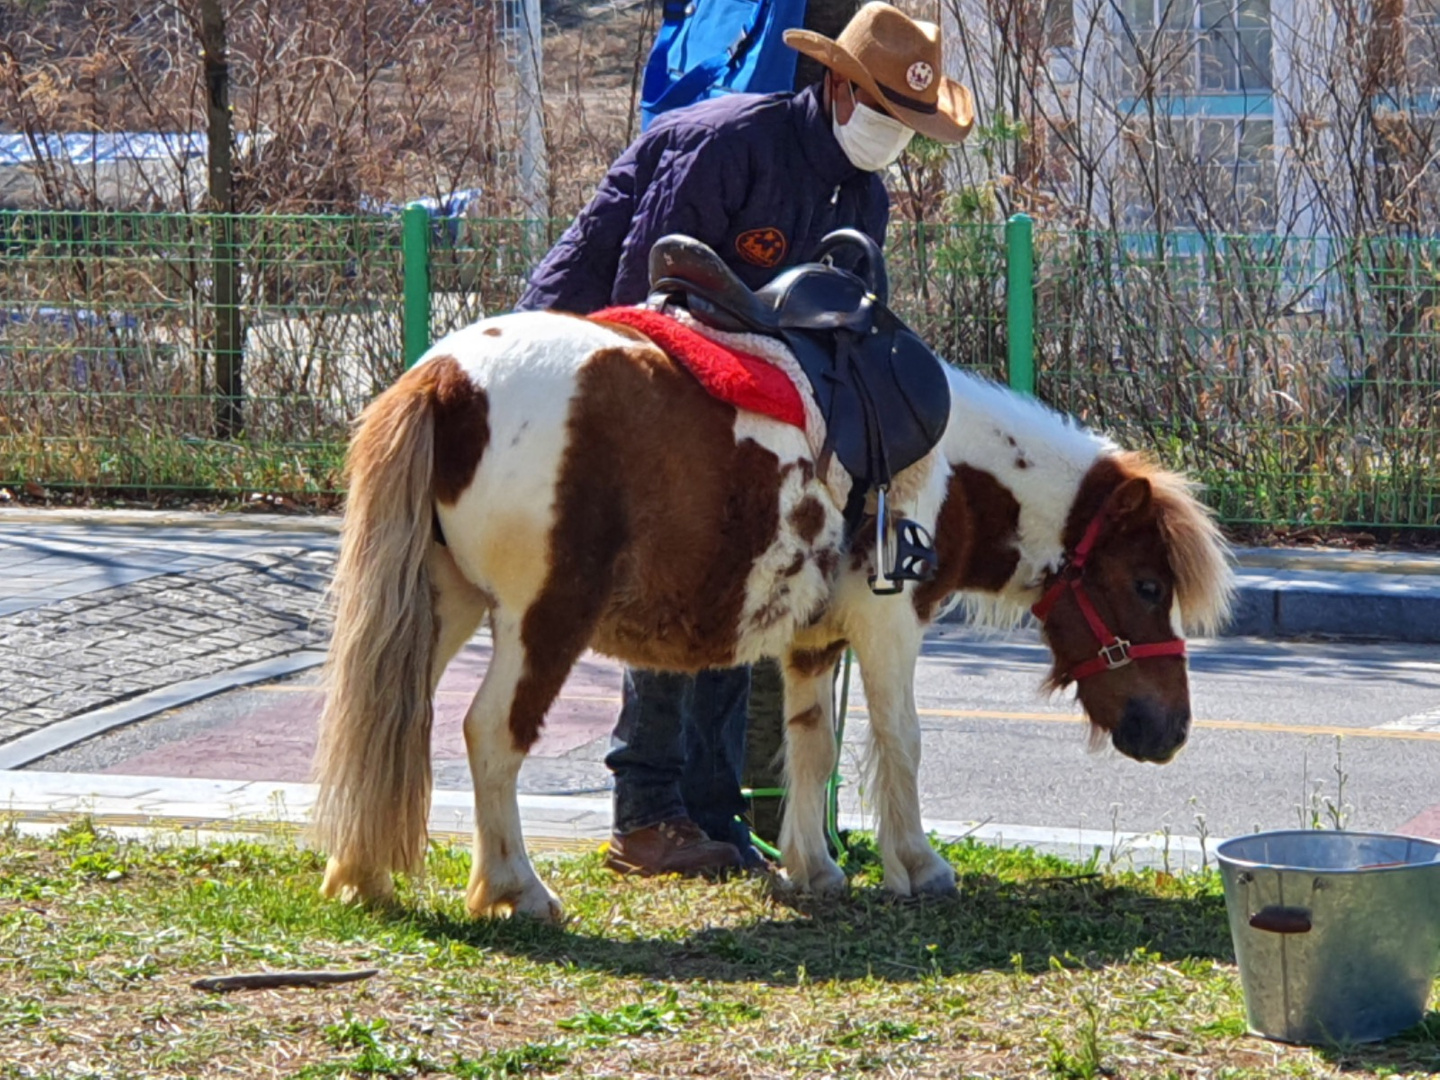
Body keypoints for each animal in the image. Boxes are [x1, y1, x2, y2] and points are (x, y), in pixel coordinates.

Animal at [309, 311, 1232, 921]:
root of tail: (447, 378)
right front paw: (918, 866)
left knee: (389, 716)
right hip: (541, 621)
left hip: (441, 605)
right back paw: (516, 888)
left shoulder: (815, 643)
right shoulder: (892, 628)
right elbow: (901, 741)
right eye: (1147, 587)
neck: (953, 470)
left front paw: (814, 868)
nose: (1172, 731)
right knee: (490, 733)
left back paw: (363, 873)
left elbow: (811, 748)